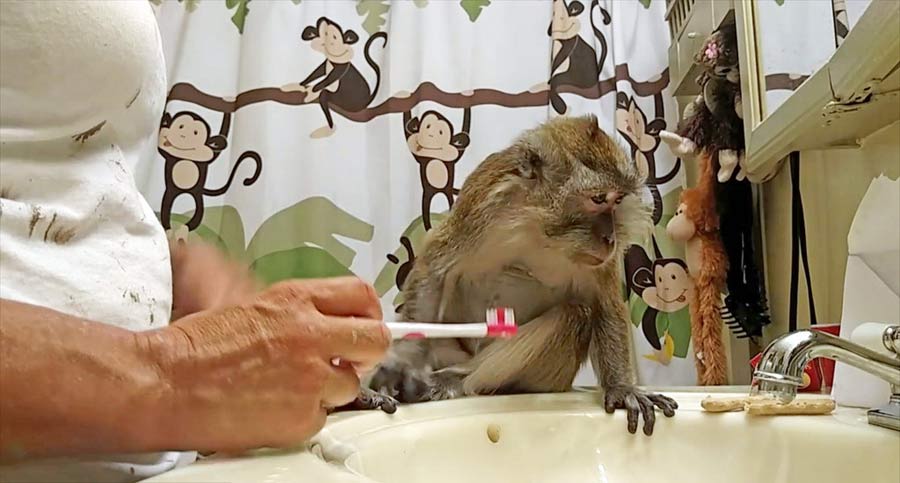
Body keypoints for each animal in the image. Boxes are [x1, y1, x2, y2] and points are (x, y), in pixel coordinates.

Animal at [362, 114, 678, 436]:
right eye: (599, 198)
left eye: (617, 202)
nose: (610, 238)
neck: (539, 226)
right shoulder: (482, 204)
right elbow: (436, 269)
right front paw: (401, 364)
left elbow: (604, 302)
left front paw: (622, 387)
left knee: (574, 314)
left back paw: (452, 380)